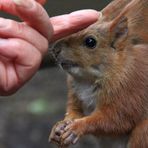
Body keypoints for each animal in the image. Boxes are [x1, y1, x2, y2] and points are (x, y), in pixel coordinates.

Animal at [49, 0, 147, 147]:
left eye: (90, 42)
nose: (55, 49)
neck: (87, 80)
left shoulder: (130, 93)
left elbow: (116, 120)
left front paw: (77, 127)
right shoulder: (75, 94)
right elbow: (74, 110)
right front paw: (59, 126)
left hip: (143, 132)